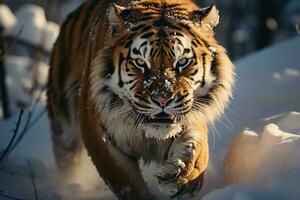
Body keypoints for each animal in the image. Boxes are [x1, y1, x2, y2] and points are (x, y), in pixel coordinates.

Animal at [46, 0, 234, 198]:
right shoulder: (99, 133)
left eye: (182, 62)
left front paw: (181, 177)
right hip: (64, 130)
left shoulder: (191, 116)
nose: (162, 100)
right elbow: (125, 181)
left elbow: (196, 151)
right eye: (140, 62)